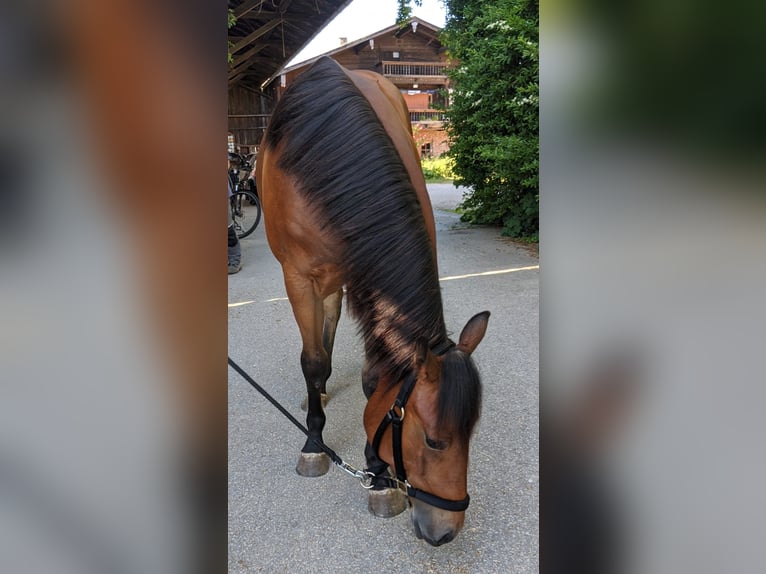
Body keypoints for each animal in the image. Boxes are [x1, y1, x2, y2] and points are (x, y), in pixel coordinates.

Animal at [256, 56, 490, 547]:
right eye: (434, 441)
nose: (445, 532)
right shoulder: (299, 280)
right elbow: (312, 361)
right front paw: (314, 444)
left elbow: (373, 378)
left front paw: (379, 474)